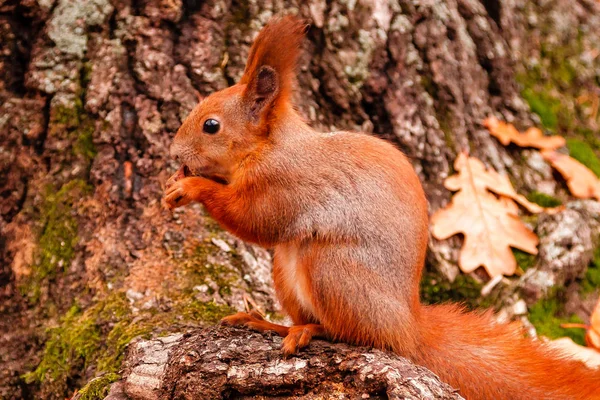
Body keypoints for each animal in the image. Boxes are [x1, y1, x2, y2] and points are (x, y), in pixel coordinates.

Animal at [166, 16, 600, 400]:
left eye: (211, 125)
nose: (174, 152)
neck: (269, 146)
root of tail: (407, 328)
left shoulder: (285, 184)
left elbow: (255, 222)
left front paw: (190, 186)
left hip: (331, 269)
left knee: (351, 333)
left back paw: (307, 332)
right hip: (287, 272)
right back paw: (269, 323)